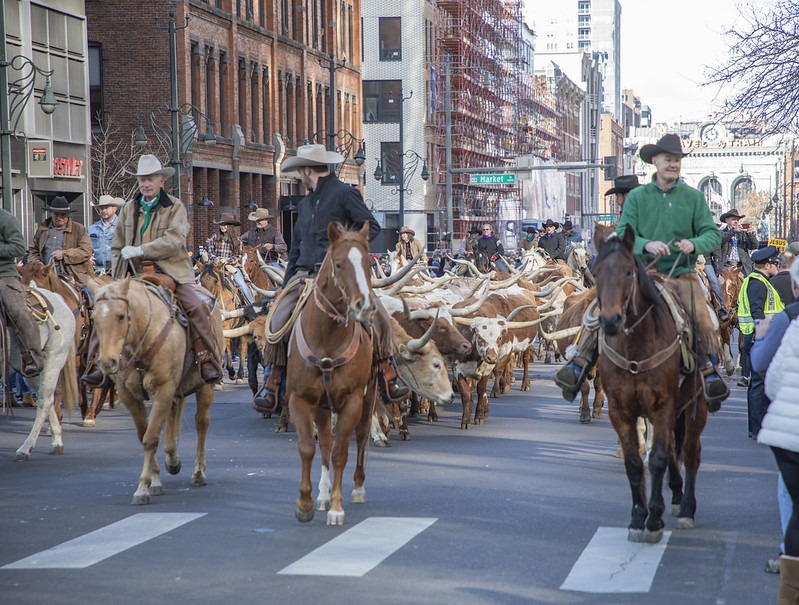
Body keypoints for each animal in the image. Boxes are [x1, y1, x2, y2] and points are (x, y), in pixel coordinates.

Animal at [7, 286, 79, 460]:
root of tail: (58, 297)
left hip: (53, 359)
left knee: (45, 401)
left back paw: (26, 448)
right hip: (32, 370)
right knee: (46, 397)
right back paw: (56, 440)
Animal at [89, 276, 223, 502]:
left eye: (121, 316)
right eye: (94, 318)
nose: (107, 362)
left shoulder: (163, 389)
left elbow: (150, 438)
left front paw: (143, 487)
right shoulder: (129, 395)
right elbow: (143, 434)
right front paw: (155, 479)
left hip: (205, 386)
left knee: (201, 422)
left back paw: (198, 472)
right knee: (173, 414)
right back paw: (173, 459)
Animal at [284, 222, 378, 524]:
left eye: (368, 264)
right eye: (338, 264)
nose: (364, 306)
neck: (326, 336)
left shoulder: (352, 401)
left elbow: (340, 453)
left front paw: (337, 508)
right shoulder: (300, 399)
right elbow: (308, 448)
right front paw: (305, 503)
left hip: (368, 398)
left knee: (360, 437)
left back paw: (357, 488)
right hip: (322, 407)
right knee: (324, 441)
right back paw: (323, 495)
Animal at [592, 225, 708, 544]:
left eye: (628, 271)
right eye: (596, 273)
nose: (610, 320)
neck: (636, 346)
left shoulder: (664, 406)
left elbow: (656, 460)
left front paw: (654, 519)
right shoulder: (619, 411)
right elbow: (635, 462)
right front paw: (637, 517)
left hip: (696, 407)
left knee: (690, 452)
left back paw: (687, 509)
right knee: (673, 449)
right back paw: (677, 494)